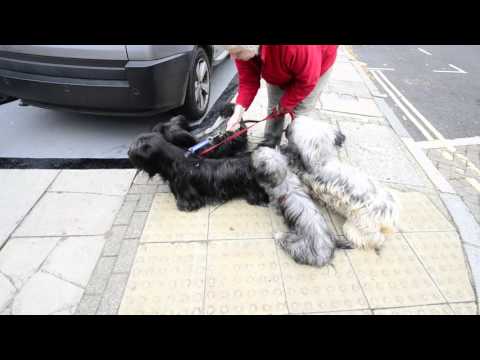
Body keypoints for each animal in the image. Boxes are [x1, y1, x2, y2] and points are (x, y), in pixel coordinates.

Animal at [284, 116, 400, 252]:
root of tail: (391, 218)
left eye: (291, 128)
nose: (285, 128)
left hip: (356, 227)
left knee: (370, 241)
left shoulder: (308, 181)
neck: (324, 159)